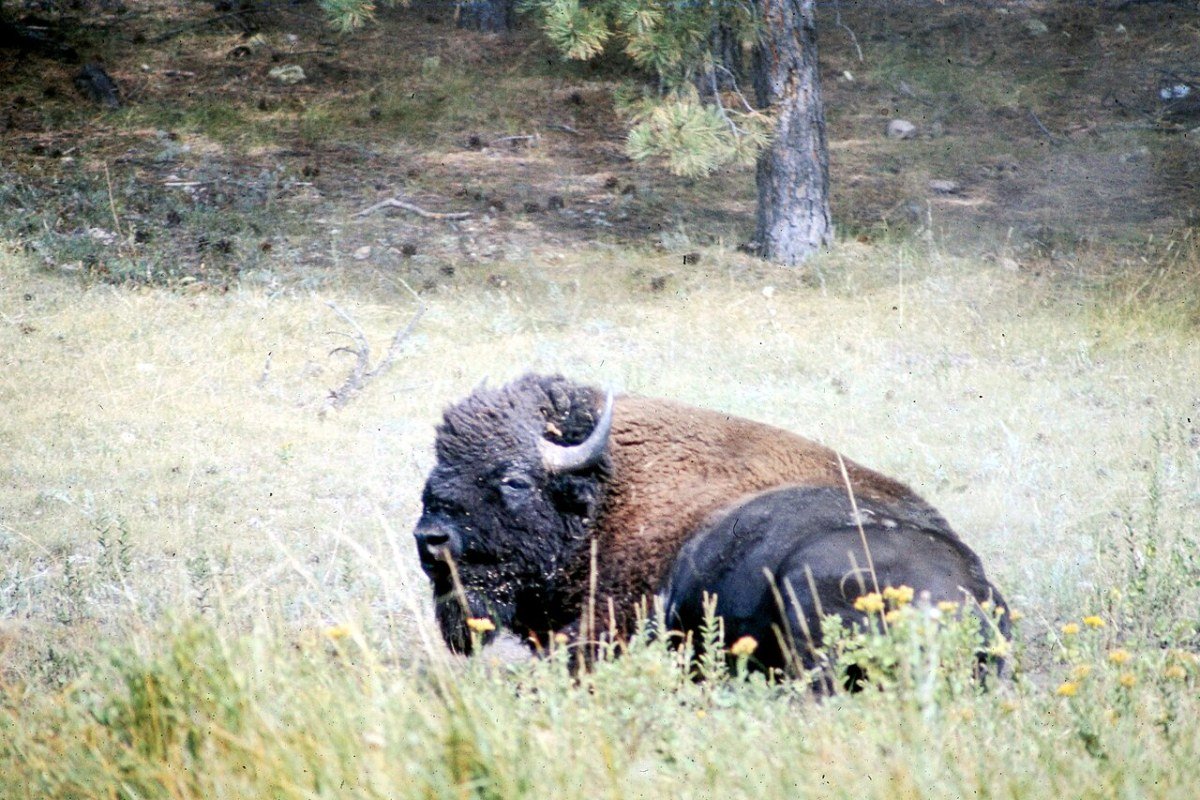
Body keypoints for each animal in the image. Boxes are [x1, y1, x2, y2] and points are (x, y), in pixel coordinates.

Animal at [412, 373, 1008, 675]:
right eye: (436, 467)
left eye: (513, 479)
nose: (429, 539)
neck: (605, 493)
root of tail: (981, 605)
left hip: (808, 583)